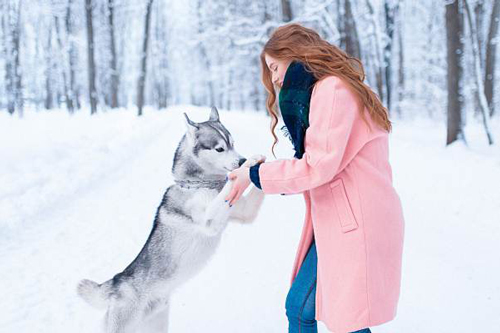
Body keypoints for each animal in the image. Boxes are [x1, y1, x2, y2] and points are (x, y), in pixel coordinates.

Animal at [77, 107, 266, 332]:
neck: (199, 184)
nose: (242, 160)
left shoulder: (245, 213)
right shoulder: (208, 222)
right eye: (219, 149)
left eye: (233, 143)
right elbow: (225, 192)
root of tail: (116, 281)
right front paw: (250, 165)